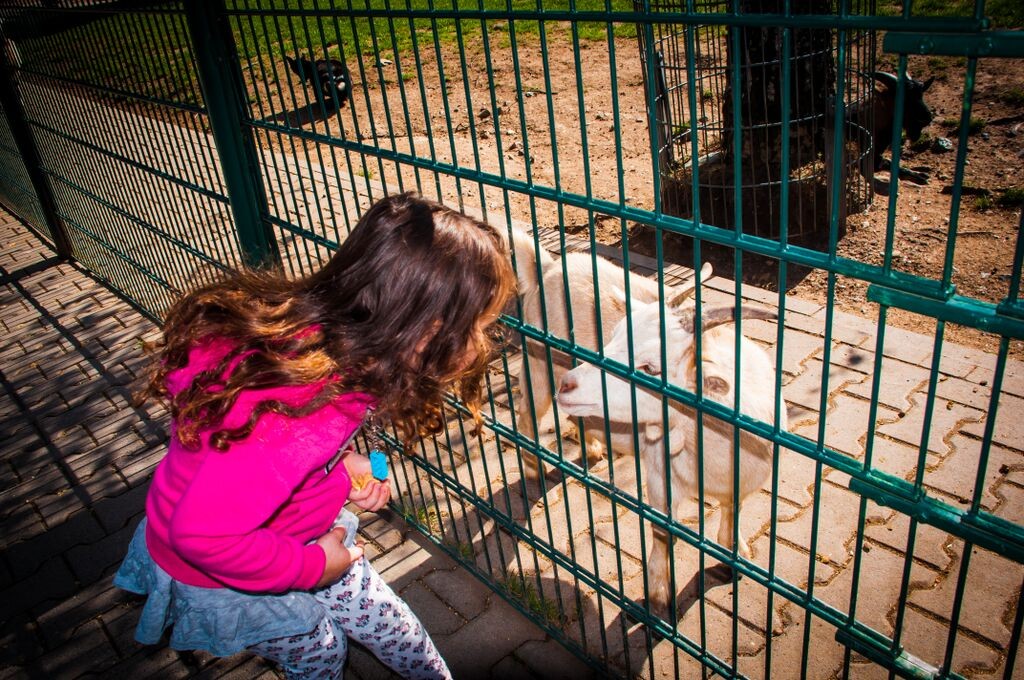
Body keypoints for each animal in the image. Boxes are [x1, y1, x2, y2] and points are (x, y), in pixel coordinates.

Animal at [552, 284, 782, 614]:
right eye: (614, 337)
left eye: (650, 368)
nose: (566, 384)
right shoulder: (662, 480)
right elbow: (663, 533)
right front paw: (659, 592)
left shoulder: (740, 484)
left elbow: (732, 512)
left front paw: (734, 556)